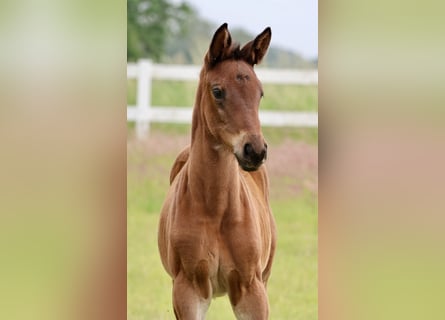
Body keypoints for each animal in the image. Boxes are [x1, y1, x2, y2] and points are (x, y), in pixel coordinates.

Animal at [156, 23, 274, 320]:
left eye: (260, 93)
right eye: (218, 91)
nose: (255, 150)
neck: (216, 209)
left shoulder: (252, 289)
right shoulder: (188, 290)